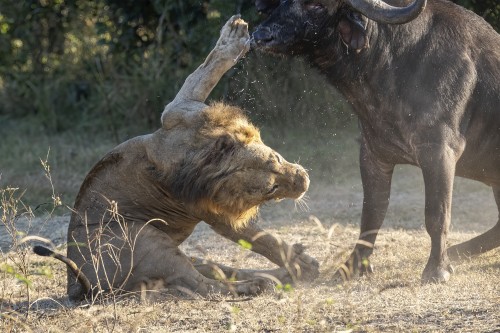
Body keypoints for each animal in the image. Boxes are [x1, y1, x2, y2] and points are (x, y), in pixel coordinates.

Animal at [33, 16, 318, 300]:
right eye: (272, 189)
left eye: (277, 158)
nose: (304, 183)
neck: (206, 156)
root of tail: (75, 284)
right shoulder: (211, 208)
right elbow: (262, 238)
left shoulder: (179, 110)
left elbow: (205, 72)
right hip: (144, 237)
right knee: (203, 285)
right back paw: (258, 284)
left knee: (216, 270)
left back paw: (280, 274)